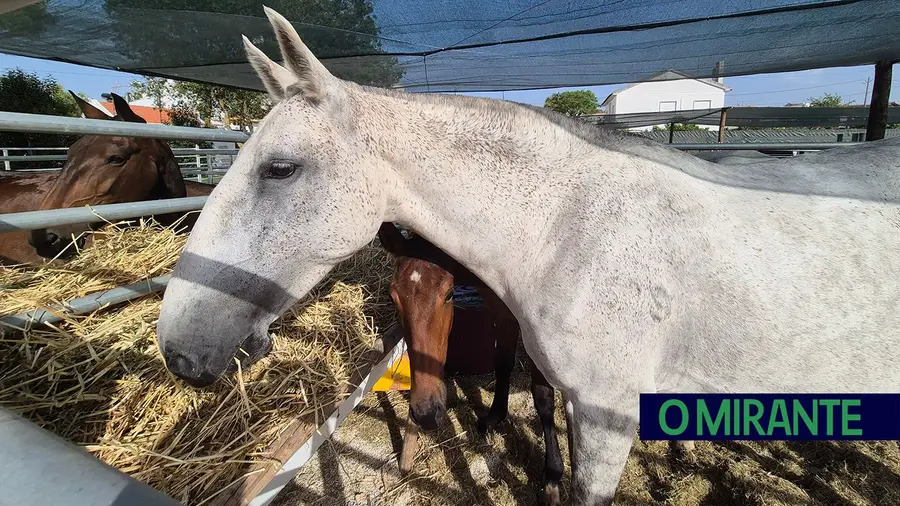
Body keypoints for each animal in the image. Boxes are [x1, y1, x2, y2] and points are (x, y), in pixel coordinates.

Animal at [379, 222, 565, 505]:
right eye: (393, 298)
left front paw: (552, 477)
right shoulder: (503, 312)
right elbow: (503, 364)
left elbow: (543, 397)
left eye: (449, 294)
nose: (425, 413)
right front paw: (495, 416)